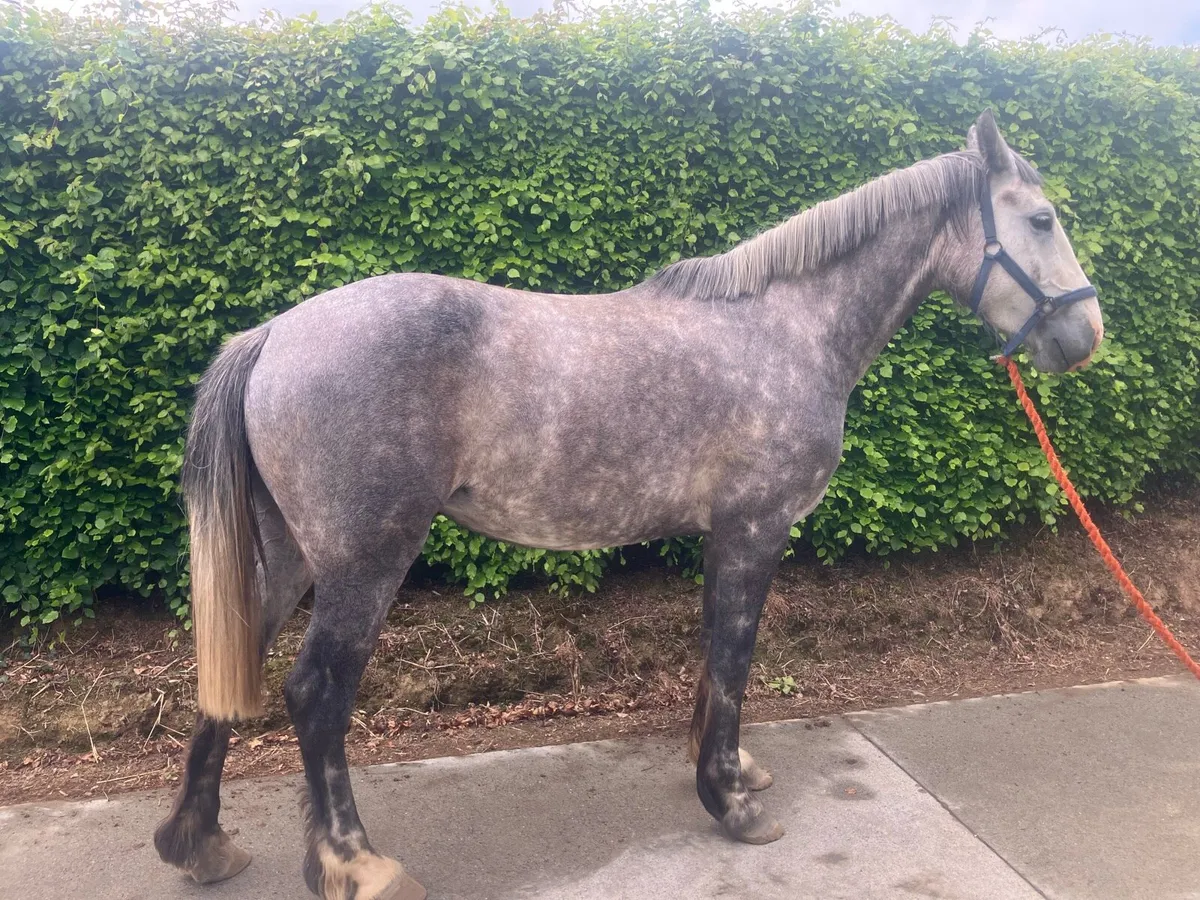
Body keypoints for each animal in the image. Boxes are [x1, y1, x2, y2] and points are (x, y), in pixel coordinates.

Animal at [153, 110, 1104, 900]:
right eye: (1042, 219)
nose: (1086, 337)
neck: (786, 327)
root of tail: (273, 334)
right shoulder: (757, 530)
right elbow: (735, 655)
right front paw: (732, 805)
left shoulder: (724, 535)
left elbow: (717, 655)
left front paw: (731, 771)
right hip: (363, 562)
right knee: (316, 693)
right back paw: (357, 865)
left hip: (288, 556)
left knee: (234, 665)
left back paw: (198, 844)